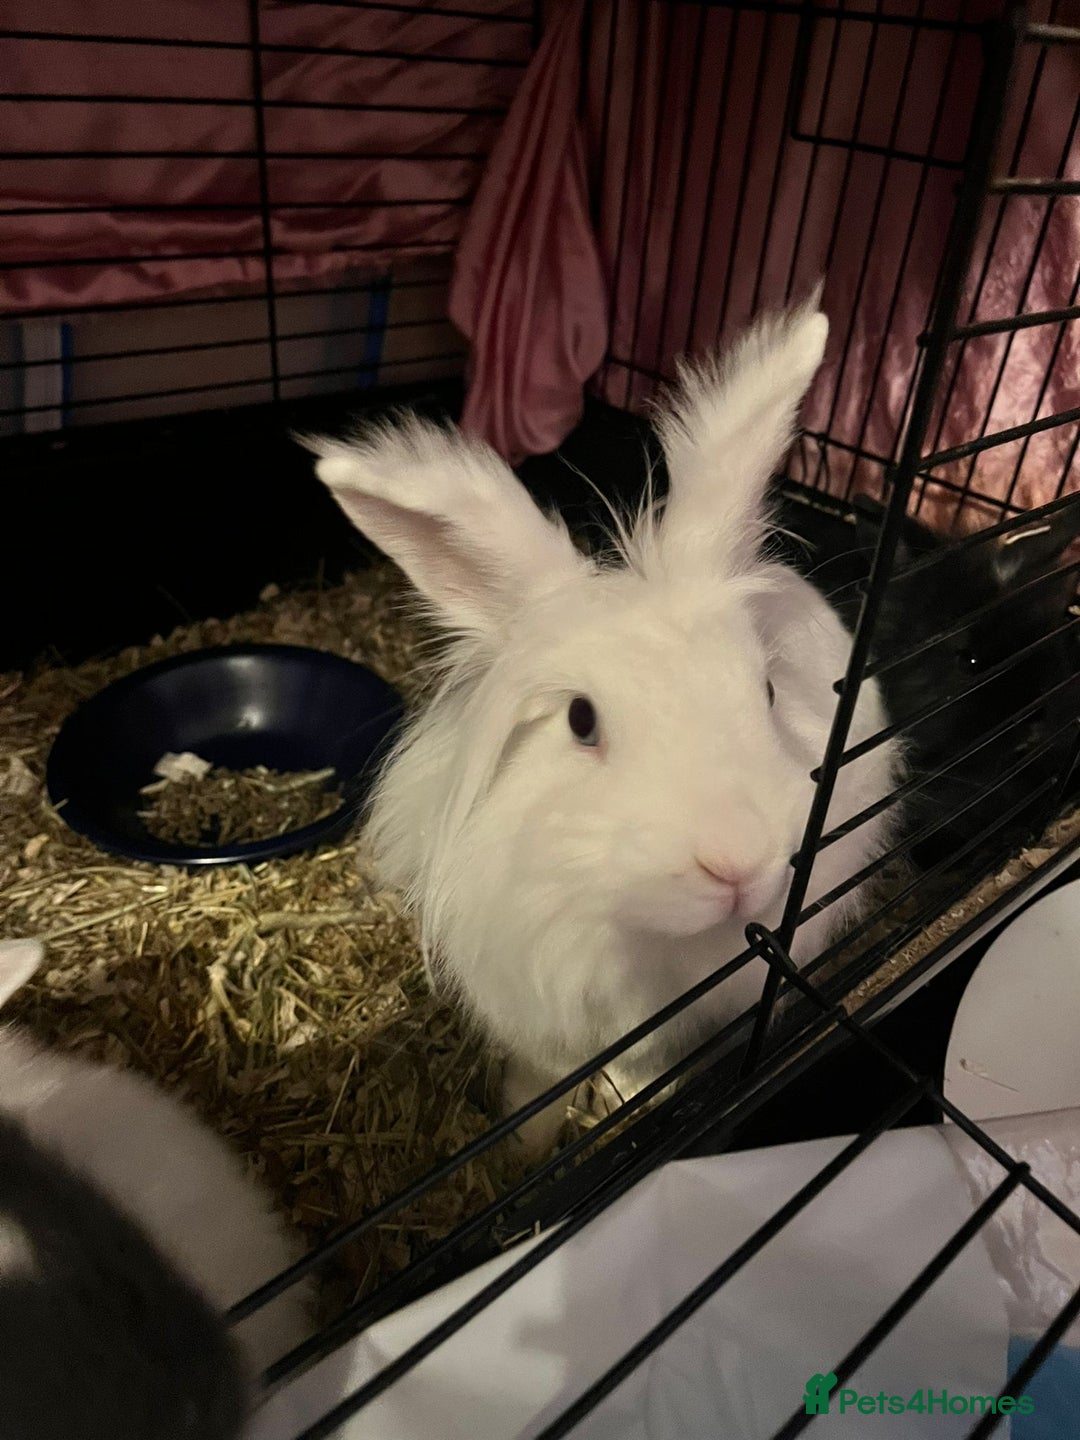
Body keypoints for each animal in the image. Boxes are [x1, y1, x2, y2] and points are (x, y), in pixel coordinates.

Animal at [302, 298, 904, 1152]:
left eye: (765, 690)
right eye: (581, 721)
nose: (738, 863)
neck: (639, 941)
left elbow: (635, 1073)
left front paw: (622, 1109)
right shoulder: (536, 1014)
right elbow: (539, 1085)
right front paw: (519, 1146)